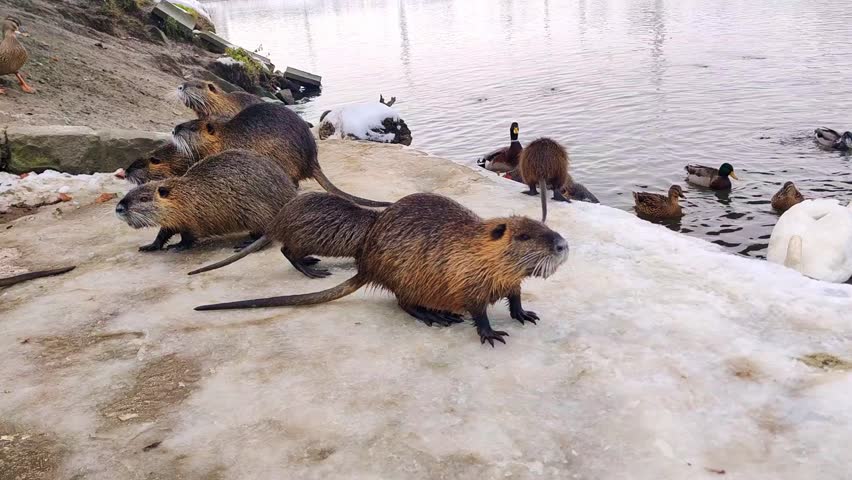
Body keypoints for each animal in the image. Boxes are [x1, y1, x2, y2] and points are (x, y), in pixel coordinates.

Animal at [116, 149, 297, 252]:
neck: (188, 194)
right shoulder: (174, 219)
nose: (119, 208)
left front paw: (177, 246)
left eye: (144, 198)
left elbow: (189, 236)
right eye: (130, 192)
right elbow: (164, 232)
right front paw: (150, 246)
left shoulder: (195, 218)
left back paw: (246, 243)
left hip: (253, 211)